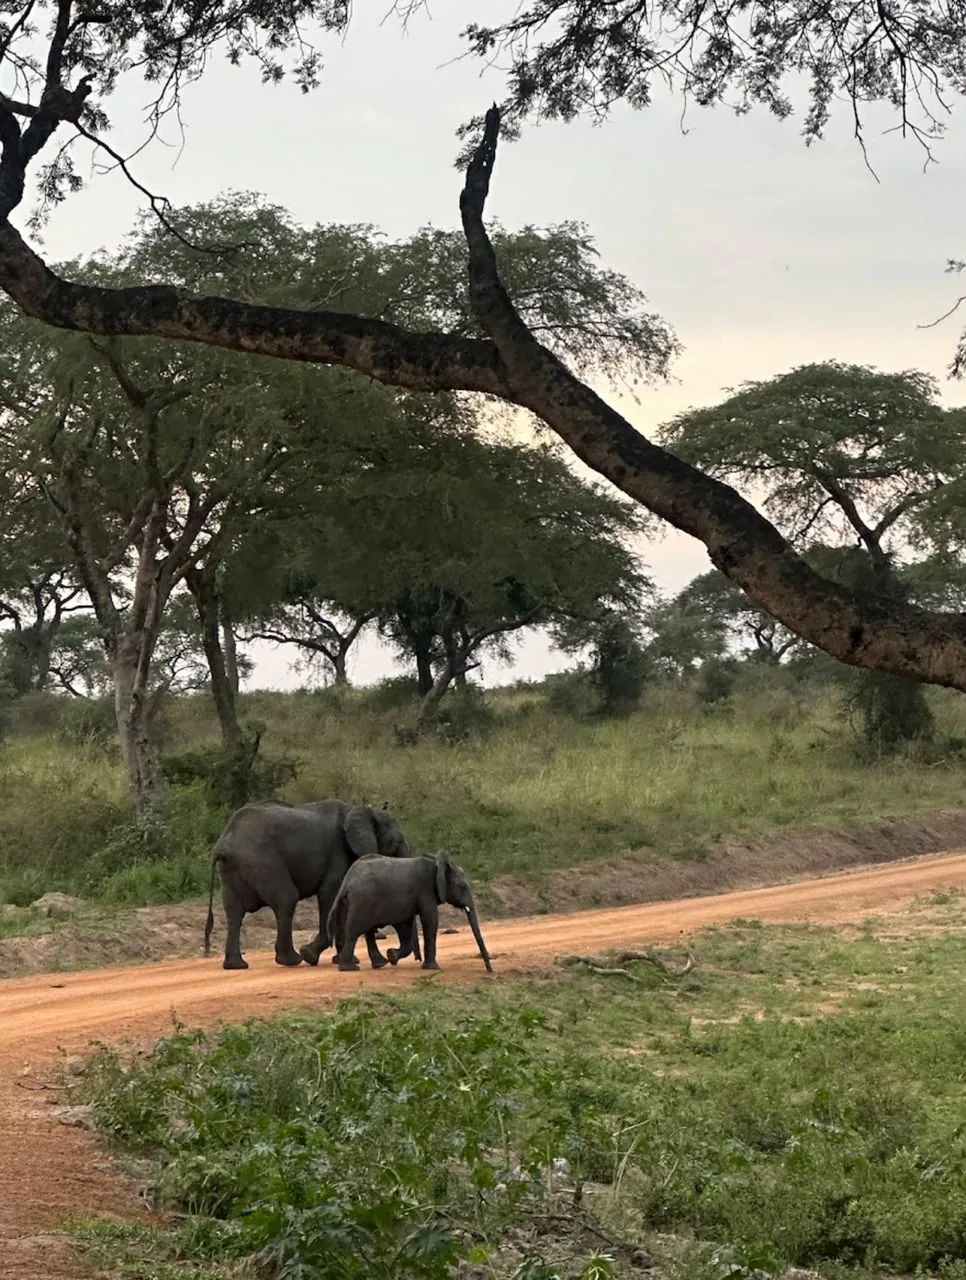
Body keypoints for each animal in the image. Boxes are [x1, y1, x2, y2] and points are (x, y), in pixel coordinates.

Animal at [203, 799, 412, 971]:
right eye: (395, 841)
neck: (361, 809)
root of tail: (223, 844)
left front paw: (343, 960)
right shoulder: (338, 853)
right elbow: (330, 895)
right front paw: (311, 955)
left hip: (232, 871)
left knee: (234, 912)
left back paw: (235, 965)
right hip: (262, 862)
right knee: (286, 899)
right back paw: (292, 960)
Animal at [327, 850, 493, 973]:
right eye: (463, 887)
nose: (490, 970)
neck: (436, 863)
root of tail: (347, 881)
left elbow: (405, 925)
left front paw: (392, 956)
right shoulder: (426, 890)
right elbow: (430, 919)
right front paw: (432, 968)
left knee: (367, 932)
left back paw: (379, 964)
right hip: (362, 900)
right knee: (354, 931)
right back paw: (350, 968)